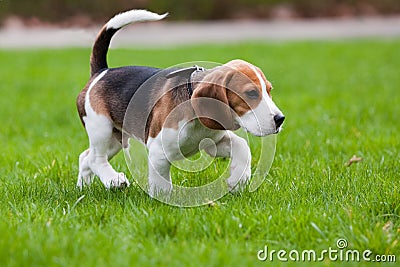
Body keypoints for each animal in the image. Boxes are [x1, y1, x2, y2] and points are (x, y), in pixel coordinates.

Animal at [76, 9, 284, 197]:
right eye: (251, 93)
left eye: (269, 90)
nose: (280, 119)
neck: (195, 115)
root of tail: (102, 72)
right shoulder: (158, 151)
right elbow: (162, 184)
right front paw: (161, 200)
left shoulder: (213, 143)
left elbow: (242, 147)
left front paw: (238, 180)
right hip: (101, 128)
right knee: (96, 159)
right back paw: (114, 180)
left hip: (116, 138)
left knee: (85, 157)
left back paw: (83, 188)